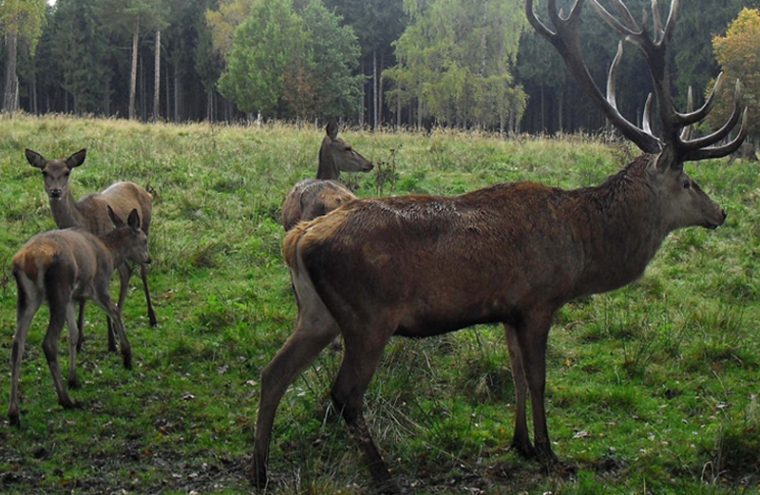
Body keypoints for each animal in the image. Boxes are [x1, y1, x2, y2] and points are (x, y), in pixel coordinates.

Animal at [7, 207, 148, 428]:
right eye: (145, 240)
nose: (148, 259)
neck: (110, 254)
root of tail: (27, 261)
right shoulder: (97, 286)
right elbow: (115, 311)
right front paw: (127, 356)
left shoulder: (73, 299)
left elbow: (74, 333)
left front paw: (74, 379)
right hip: (59, 289)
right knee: (49, 342)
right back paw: (65, 400)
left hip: (27, 297)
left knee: (17, 343)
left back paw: (14, 412)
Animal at [24, 147, 156, 352]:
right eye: (44, 172)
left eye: (66, 172)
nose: (55, 191)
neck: (85, 221)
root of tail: (147, 192)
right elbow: (83, 297)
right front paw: (80, 340)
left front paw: (111, 343)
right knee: (126, 271)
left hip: (145, 228)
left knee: (141, 270)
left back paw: (151, 317)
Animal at [251, 0, 748, 490]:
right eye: (688, 181)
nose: (721, 212)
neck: (582, 248)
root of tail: (297, 237)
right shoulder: (538, 301)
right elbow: (539, 378)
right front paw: (549, 453)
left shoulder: (508, 311)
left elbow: (515, 375)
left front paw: (521, 443)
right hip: (367, 316)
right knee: (344, 395)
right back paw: (383, 475)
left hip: (316, 313)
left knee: (273, 373)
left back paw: (259, 470)